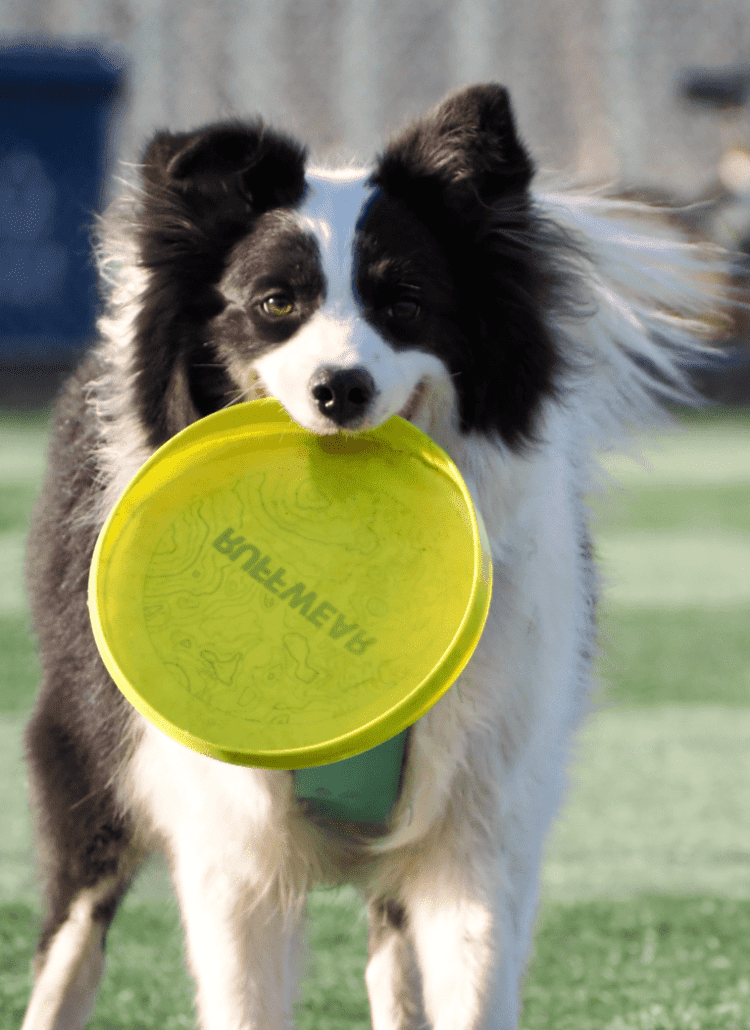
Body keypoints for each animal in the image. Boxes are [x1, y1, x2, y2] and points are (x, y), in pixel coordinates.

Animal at [22, 84, 712, 1025]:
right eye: (276, 303)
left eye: (405, 302)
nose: (339, 390)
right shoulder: (232, 846)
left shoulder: (478, 823)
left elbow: (469, 981)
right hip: (86, 761)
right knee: (71, 938)